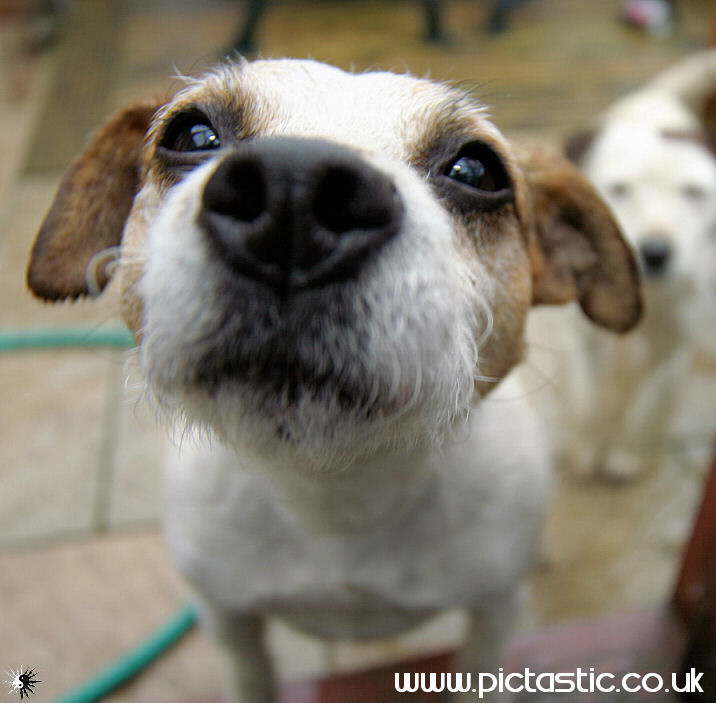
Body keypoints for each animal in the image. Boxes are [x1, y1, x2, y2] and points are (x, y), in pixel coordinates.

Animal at [28, 59, 640, 700]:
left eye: (476, 168)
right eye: (190, 134)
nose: (293, 194)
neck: (334, 495)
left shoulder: (492, 615)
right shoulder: (229, 620)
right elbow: (252, 677)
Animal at [564, 49, 716, 482]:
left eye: (694, 193)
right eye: (619, 189)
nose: (655, 252)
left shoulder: (674, 350)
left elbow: (645, 408)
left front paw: (623, 453)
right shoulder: (582, 340)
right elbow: (587, 399)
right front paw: (585, 448)